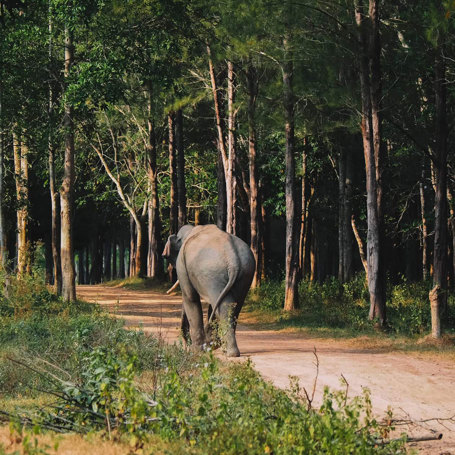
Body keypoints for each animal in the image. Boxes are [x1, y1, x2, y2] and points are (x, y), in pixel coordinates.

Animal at [163, 226, 256, 358]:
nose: (187, 345)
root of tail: (233, 260)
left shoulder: (182, 264)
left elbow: (190, 297)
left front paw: (196, 351)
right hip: (245, 273)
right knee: (232, 305)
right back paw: (224, 349)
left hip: (213, 273)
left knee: (222, 305)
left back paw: (226, 351)